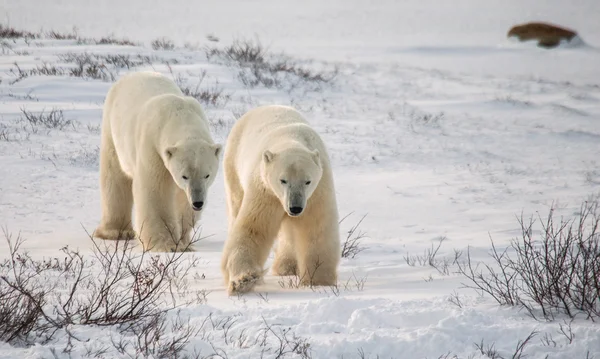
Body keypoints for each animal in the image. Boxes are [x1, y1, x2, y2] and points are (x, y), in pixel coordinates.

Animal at [95, 71, 221, 253]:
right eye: (184, 176)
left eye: (207, 175)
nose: (198, 203)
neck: (178, 114)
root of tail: (133, 74)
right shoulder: (152, 145)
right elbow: (154, 190)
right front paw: (167, 244)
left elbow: (181, 200)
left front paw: (183, 242)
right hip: (112, 128)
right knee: (115, 176)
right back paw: (116, 232)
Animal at [221, 105, 342, 296]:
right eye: (283, 180)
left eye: (307, 181)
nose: (295, 208)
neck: (290, 138)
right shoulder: (265, 190)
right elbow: (253, 228)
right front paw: (244, 280)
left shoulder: (318, 191)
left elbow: (316, 228)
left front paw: (319, 281)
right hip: (233, 165)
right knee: (236, 208)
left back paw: (286, 266)